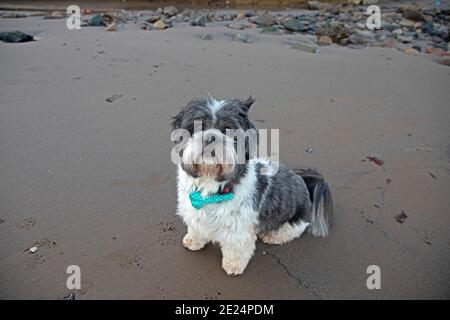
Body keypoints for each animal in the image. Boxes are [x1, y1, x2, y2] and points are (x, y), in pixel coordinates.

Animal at [171, 95, 332, 276]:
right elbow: (196, 225)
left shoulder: (238, 228)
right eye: (197, 126)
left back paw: (273, 236)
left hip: (294, 220)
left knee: (292, 229)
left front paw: (234, 264)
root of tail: (304, 182)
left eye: (228, 129)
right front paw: (194, 239)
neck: (210, 182)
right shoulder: (193, 209)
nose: (210, 137)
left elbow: (235, 247)